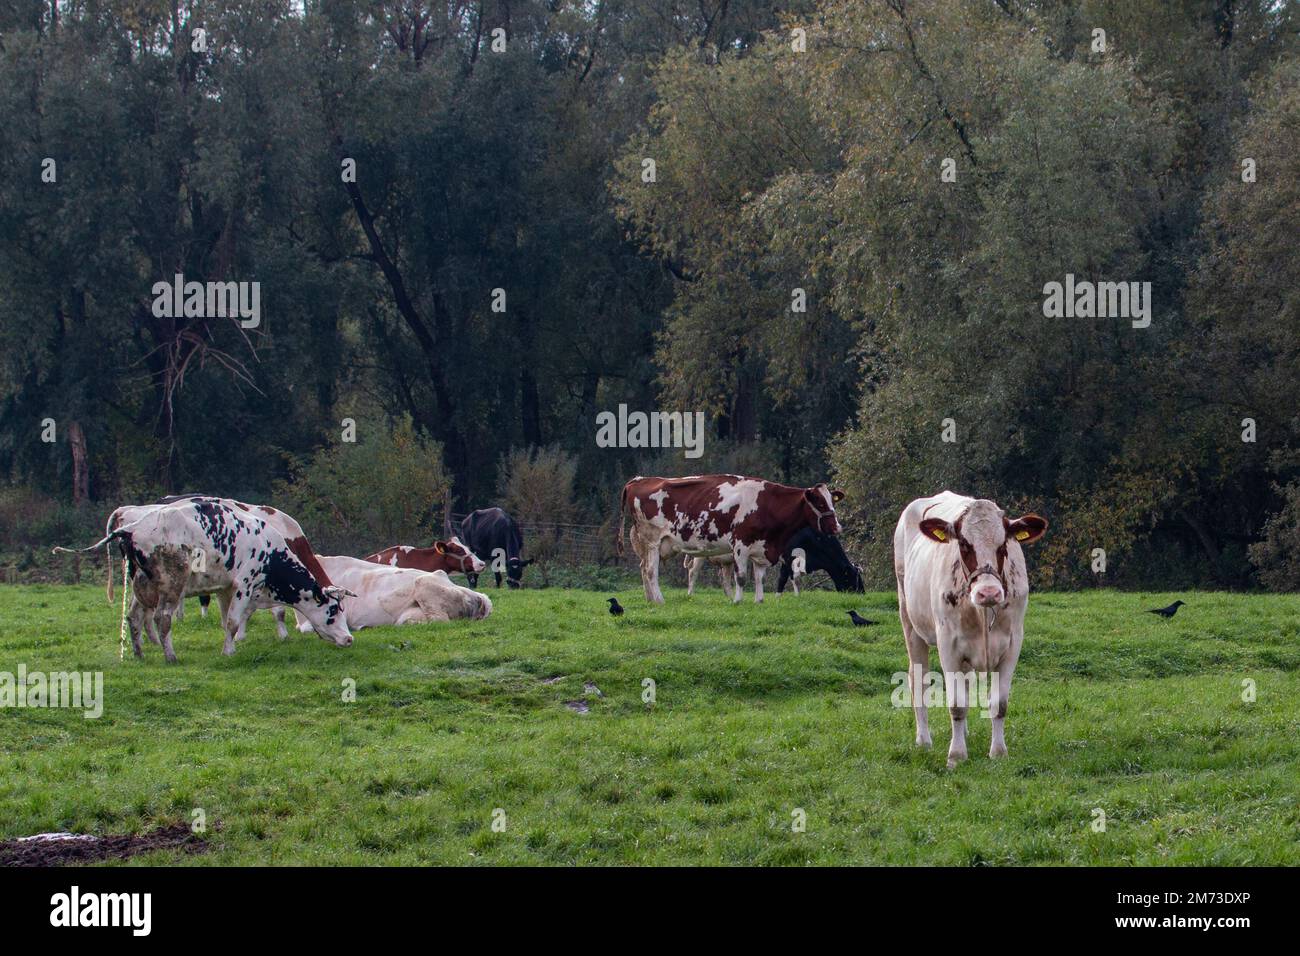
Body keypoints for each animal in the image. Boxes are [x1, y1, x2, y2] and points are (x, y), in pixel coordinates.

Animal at [56, 499, 354, 662]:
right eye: (332, 611)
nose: (349, 639)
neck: (270, 549)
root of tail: (131, 527)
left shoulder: (225, 588)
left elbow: (227, 621)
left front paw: (231, 645)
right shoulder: (245, 585)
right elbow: (234, 621)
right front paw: (228, 652)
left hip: (143, 585)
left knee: (135, 616)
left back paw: (140, 654)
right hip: (171, 585)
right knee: (162, 618)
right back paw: (170, 656)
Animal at [619, 474, 843, 604]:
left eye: (833, 501)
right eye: (820, 503)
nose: (836, 527)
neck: (767, 504)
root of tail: (638, 480)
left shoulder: (762, 548)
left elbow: (759, 578)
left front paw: (759, 601)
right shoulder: (740, 545)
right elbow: (741, 577)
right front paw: (737, 601)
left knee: (644, 568)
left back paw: (649, 599)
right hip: (652, 540)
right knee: (650, 570)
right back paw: (658, 599)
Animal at [893, 491, 1047, 768]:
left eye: (1003, 546)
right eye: (964, 544)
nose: (989, 592)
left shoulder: (1013, 644)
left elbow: (999, 703)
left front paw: (998, 751)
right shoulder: (948, 644)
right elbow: (956, 705)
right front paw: (956, 755)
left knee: (964, 682)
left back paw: (962, 733)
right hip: (909, 622)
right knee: (918, 679)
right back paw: (924, 740)